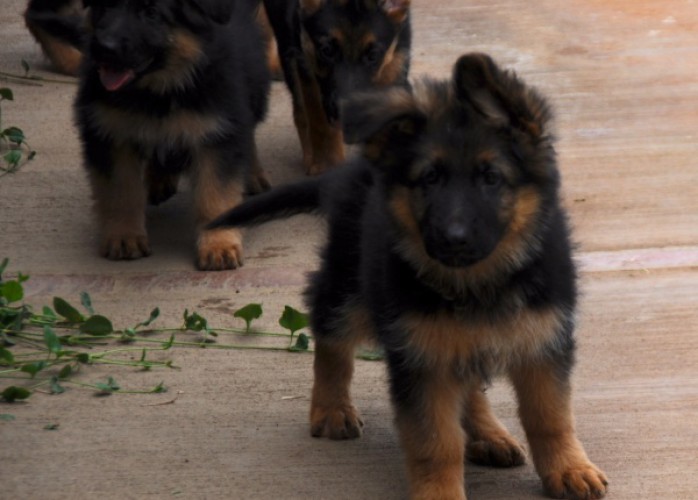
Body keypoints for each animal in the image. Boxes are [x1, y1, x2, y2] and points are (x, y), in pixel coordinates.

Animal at [73, 0, 270, 270]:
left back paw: (253, 174)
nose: (104, 47)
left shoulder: (217, 131)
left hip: (253, 90)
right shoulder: (110, 135)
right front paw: (124, 236)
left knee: (248, 134)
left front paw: (218, 245)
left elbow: (215, 196)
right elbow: (121, 192)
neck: (158, 91)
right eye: (105, 7)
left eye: (152, 13)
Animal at [209, 52, 608, 498]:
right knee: (330, 330)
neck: (478, 282)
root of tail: (357, 163)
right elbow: (437, 442)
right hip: (351, 281)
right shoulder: (422, 359)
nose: (453, 238)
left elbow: (550, 417)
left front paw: (569, 468)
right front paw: (441, 493)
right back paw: (332, 408)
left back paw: (488, 434)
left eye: (491, 178)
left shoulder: (543, 342)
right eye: (429, 178)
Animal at [264, 0, 410, 176]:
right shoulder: (306, 61)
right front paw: (327, 167)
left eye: (373, 56)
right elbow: (320, 123)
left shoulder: (395, 61)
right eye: (326, 51)